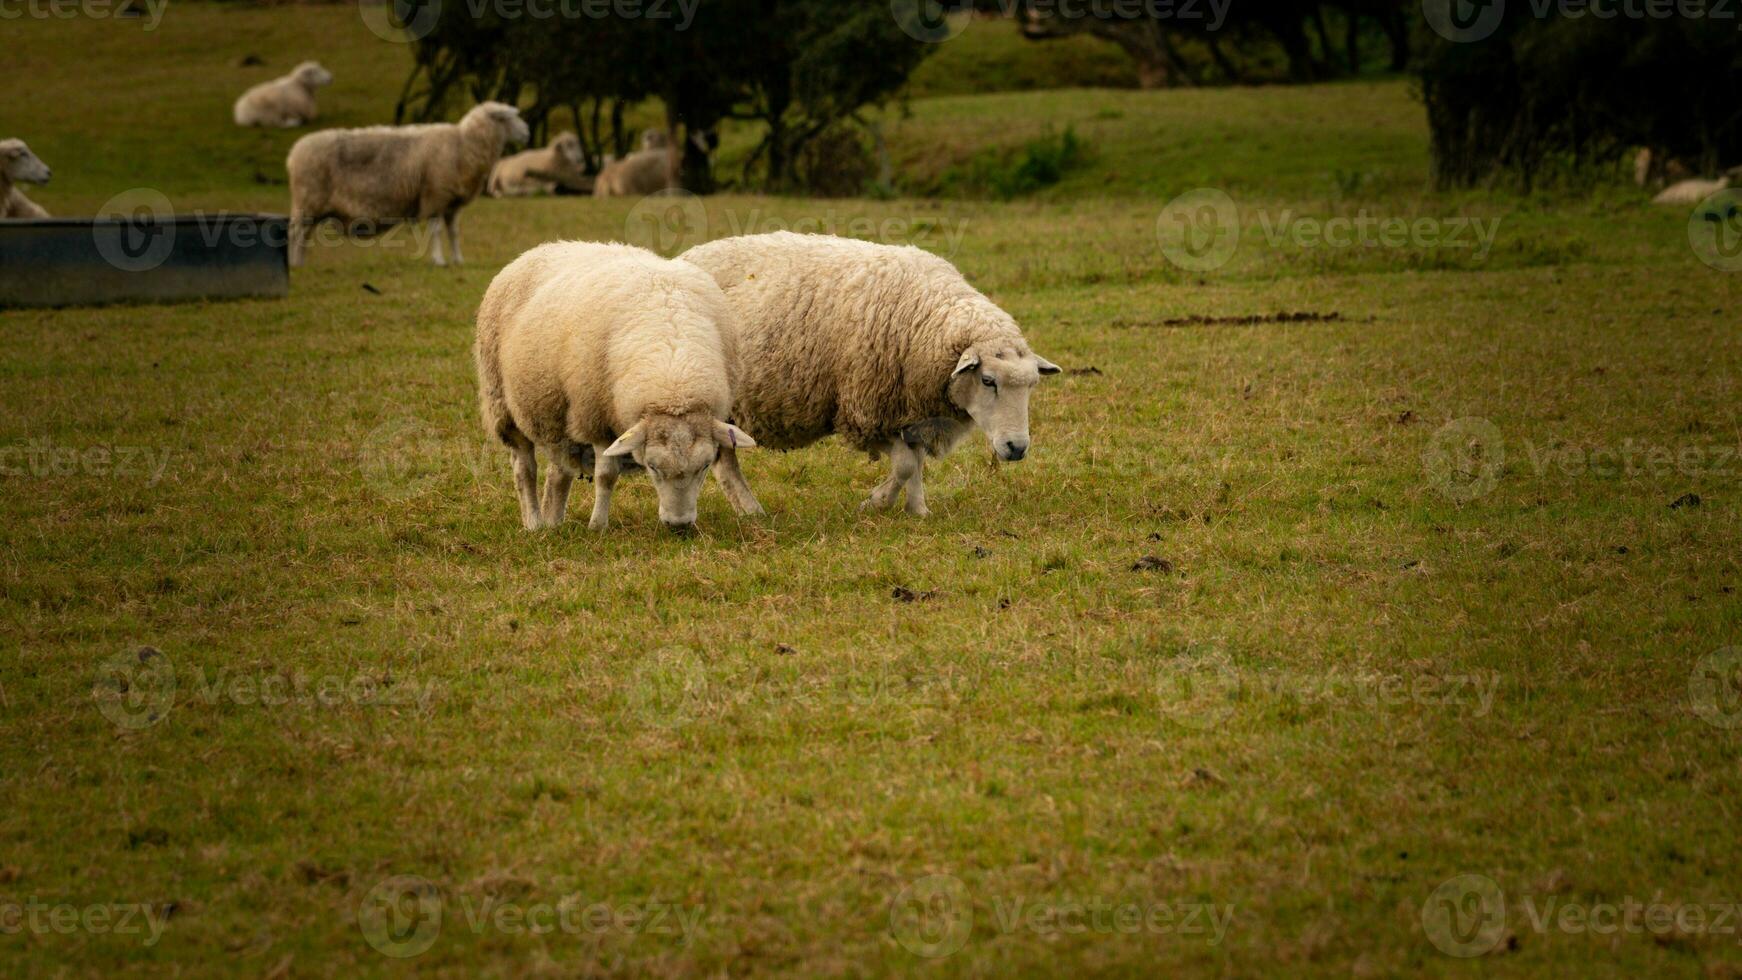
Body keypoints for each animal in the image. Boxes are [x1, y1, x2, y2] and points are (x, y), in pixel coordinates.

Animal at [285, 100, 526, 266]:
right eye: (506, 118)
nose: (528, 131)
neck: (462, 144)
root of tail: (293, 154)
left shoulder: (451, 202)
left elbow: (453, 232)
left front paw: (458, 260)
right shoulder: (435, 195)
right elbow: (436, 230)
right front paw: (439, 260)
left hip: (311, 203)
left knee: (304, 233)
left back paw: (300, 261)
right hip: (308, 198)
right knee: (296, 232)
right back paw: (296, 264)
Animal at [470, 243, 762, 536]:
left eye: (704, 467)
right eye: (652, 467)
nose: (679, 526)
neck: (674, 377)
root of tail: (539, 249)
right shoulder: (598, 421)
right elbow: (606, 476)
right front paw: (598, 526)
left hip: (559, 420)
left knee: (559, 471)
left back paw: (554, 522)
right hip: (503, 406)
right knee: (525, 470)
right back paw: (533, 522)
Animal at [679, 233, 1059, 518]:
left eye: (1032, 386)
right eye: (987, 380)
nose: (1017, 448)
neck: (926, 321)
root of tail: (682, 257)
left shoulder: (913, 410)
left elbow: (915, 460)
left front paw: (917, 509)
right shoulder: (864, 411)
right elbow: (904, 465)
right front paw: (876, 503)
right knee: (725, 463)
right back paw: (751, 510)